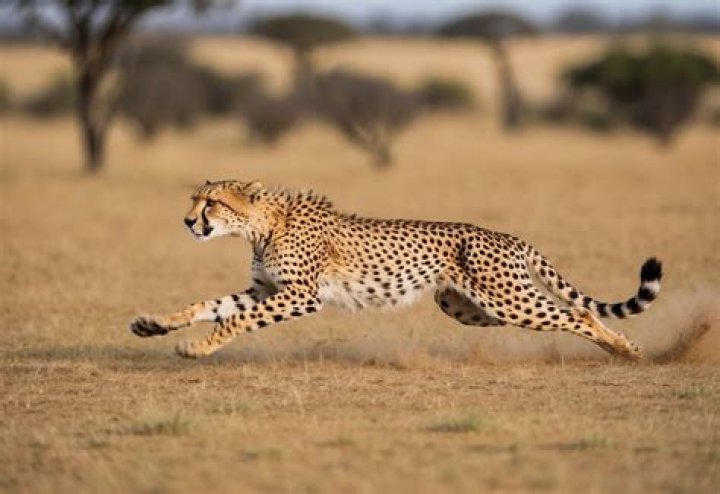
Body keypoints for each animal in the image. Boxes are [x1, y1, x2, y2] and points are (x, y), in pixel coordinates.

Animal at [130, 179, 663, 360]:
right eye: (193, 200)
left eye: (211, 203)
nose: (187, 222)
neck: (264, 224)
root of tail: (509, 236)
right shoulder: (265, 289)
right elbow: (210, 305)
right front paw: (154, 324)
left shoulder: (302, 295)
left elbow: (235, 319)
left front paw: (197, 349)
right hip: (467, 308)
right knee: (576, 314)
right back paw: (622, 349)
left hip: (506, 299)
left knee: (580, 315)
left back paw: (630, 351)